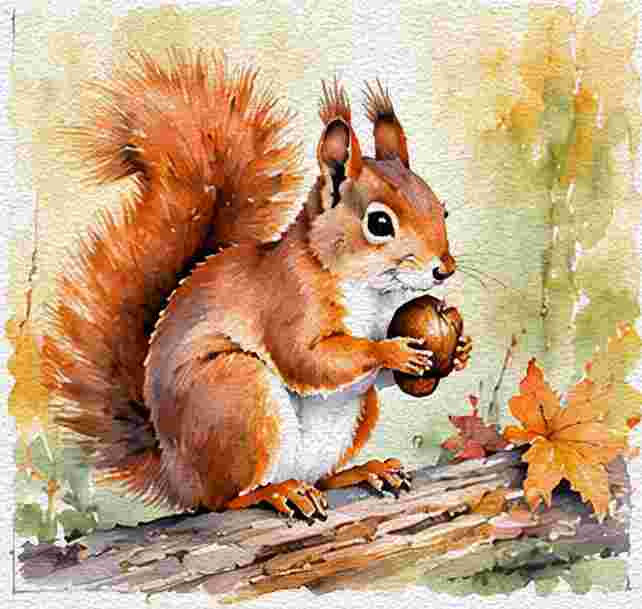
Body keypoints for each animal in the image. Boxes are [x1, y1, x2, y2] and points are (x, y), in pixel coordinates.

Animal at [42, 49, 472, 522]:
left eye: (442, 210)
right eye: (379, 224)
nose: (444, 269)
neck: (371, 291)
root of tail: (177, 475)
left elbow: (379, 380)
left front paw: (460, 350)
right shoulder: (289, 298)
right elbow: (307, 359)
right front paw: (391, 351)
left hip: (347, 421)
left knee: (322, 475)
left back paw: (363, 470)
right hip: (238, 394)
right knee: (225, 500)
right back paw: (279, 492)